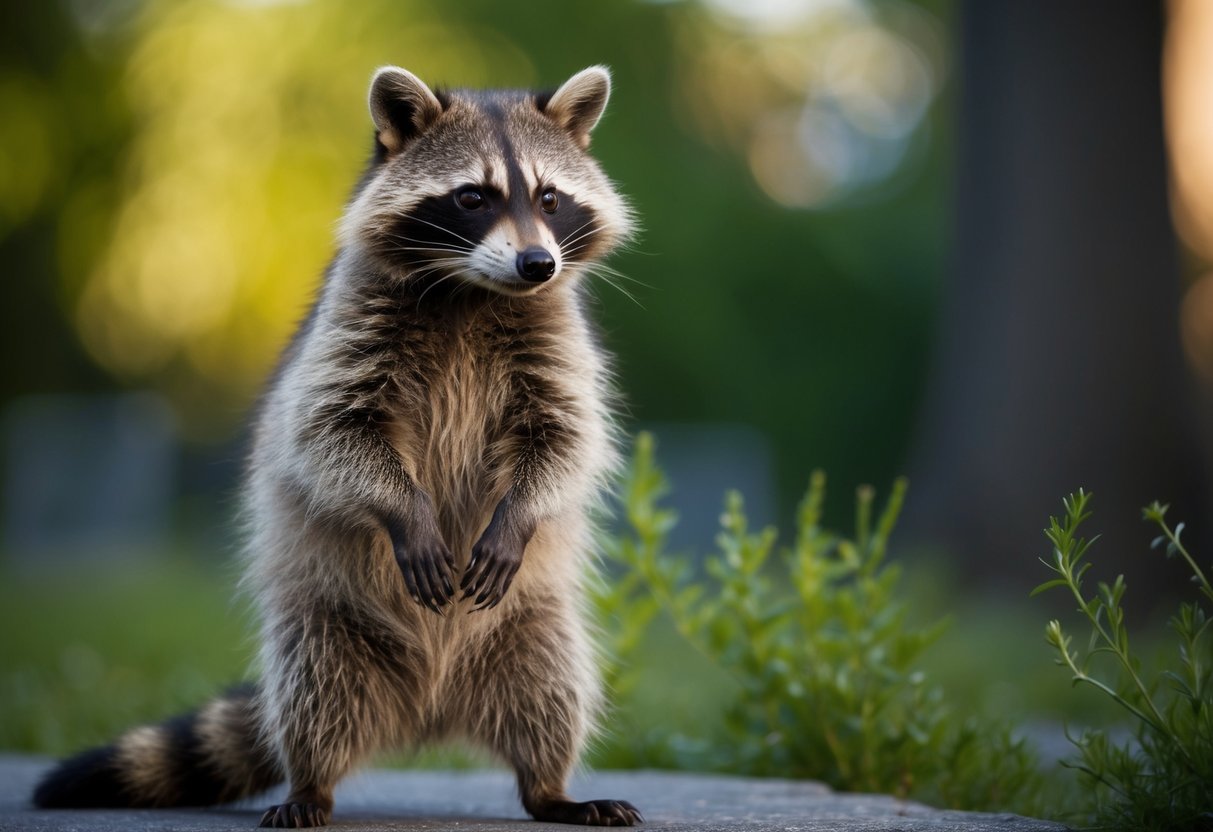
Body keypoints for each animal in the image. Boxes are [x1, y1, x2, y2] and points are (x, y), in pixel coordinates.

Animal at [33, 65, 641, 828]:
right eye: (472, 197)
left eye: (550, 198)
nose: (537, 263)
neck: (471, 288)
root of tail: (428, 714)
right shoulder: (348, 325)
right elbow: (329, 431)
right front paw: (405, 510)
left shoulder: (555, 335)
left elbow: (565, 437)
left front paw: (520, 513)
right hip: (324, 624)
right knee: (313, 694)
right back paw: (310, 784)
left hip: (533, 626)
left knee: (553, 693)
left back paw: (550, 788)